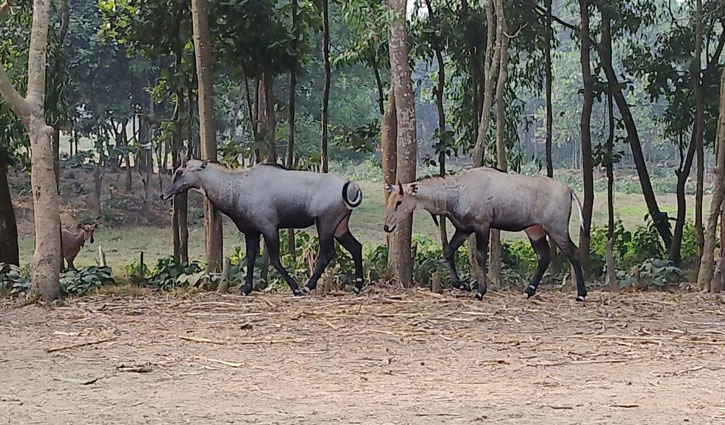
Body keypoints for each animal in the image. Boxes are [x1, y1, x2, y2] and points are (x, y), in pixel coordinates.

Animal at [158, 159, 362, 294]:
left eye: (180, 172)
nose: (163, 194)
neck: (237, 187)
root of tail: (352, 186)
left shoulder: (269, 227)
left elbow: (274, 260)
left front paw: (294, 288)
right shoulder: (251, 232)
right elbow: (249, 259)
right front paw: (246, 288)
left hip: (325, 224)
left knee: (327, 253)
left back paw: (307, 286)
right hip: (340, 226)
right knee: (356, 247)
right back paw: (358, 285)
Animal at [382, 166, 584, 302]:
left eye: (399, 202)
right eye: (390, 200)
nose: (387, 227)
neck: (458, 191)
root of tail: (570, 190)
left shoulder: (482, 226)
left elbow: (479, 256)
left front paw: (480, 291)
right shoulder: (464, 229)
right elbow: (448, 251)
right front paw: (461, 285)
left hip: (556, 229)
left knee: (574, 252)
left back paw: (581, 294)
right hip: (535, 230)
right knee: (544, 256)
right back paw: (529, 291)